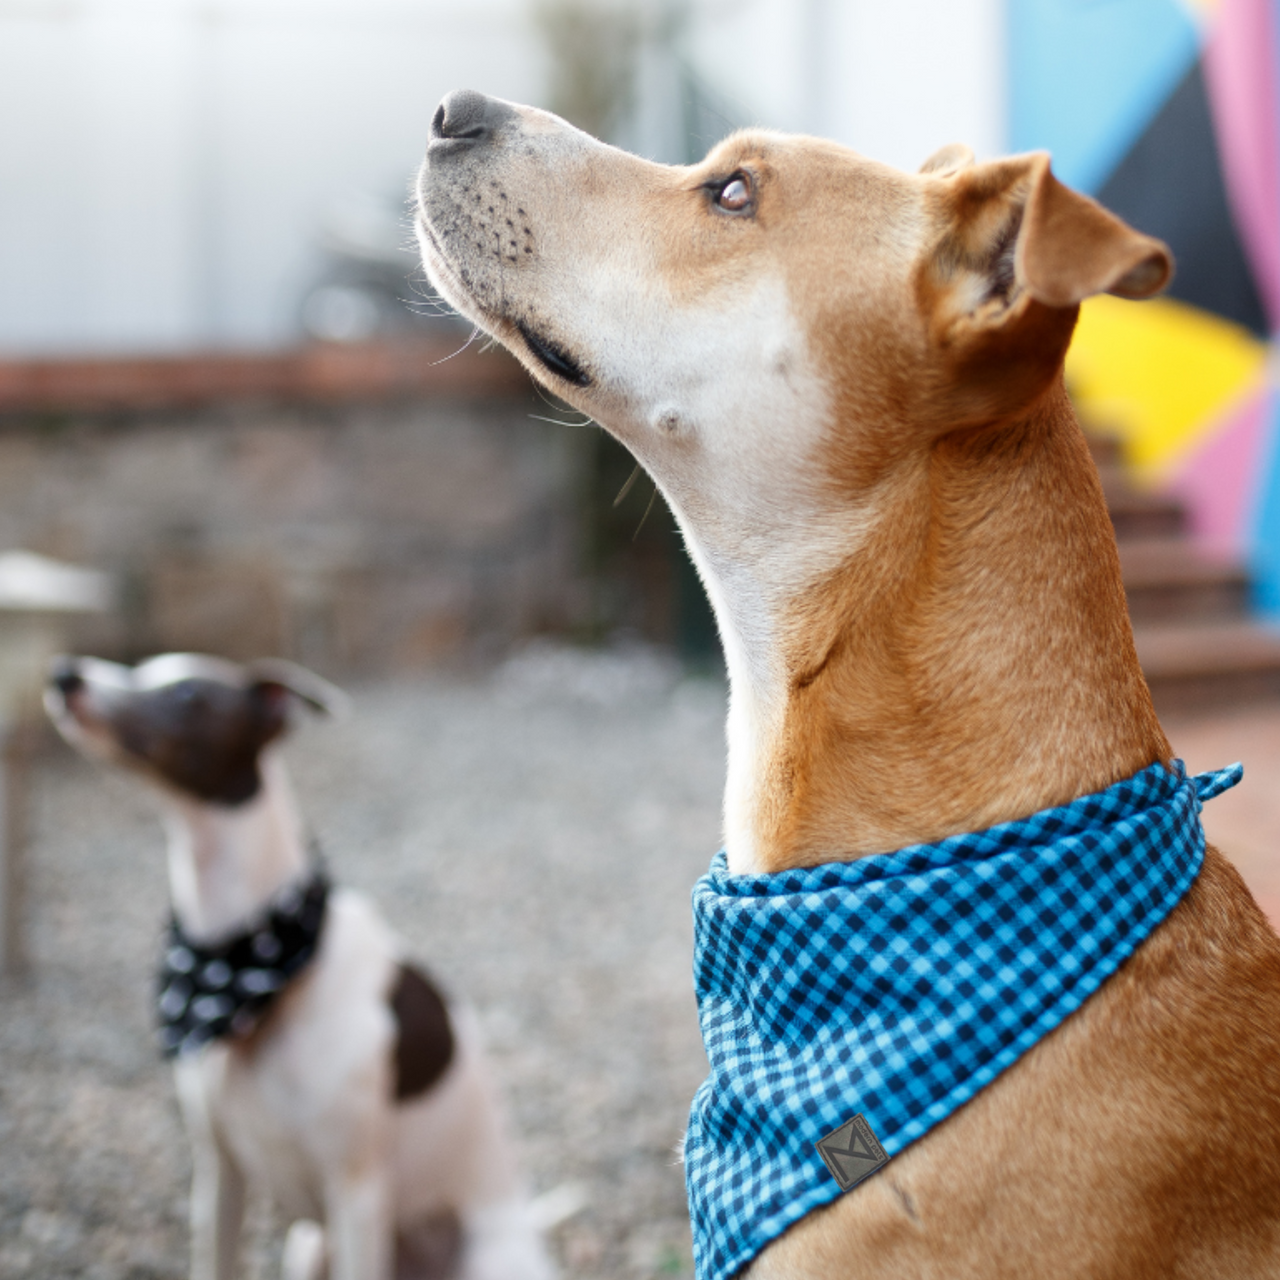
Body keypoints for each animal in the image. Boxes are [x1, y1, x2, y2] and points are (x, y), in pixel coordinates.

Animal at [43, 655, 555, 1280]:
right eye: (142, 668)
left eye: (189, 694)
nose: (67, 674)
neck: (251, 970)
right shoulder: (220, 1173)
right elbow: (215, 1257)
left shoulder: (356, 1195)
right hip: (309, 1246)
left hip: (478, 1253)